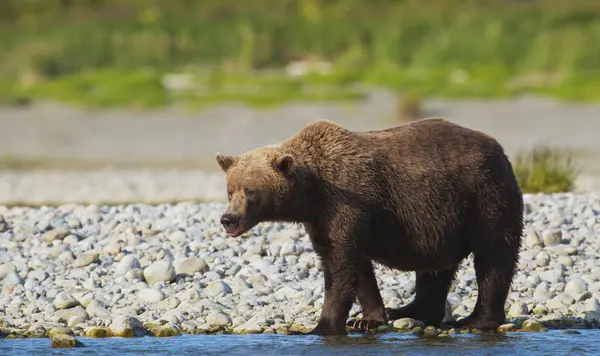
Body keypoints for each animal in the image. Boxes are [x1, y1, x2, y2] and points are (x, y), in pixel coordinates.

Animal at [213, 117, 524, 336]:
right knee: (435, 269)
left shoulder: (344, 205)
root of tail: (499, 148)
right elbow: (356, 267)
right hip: (442, 220)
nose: (228, 219)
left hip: (484, 197)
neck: (311, 193)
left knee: (493, 256)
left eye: (251, 192)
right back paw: (407, 310)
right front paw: (368, 319)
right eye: (230, 190)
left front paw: (321, 326)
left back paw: (476, 320)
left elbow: (340, 266)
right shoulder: (323, 220)